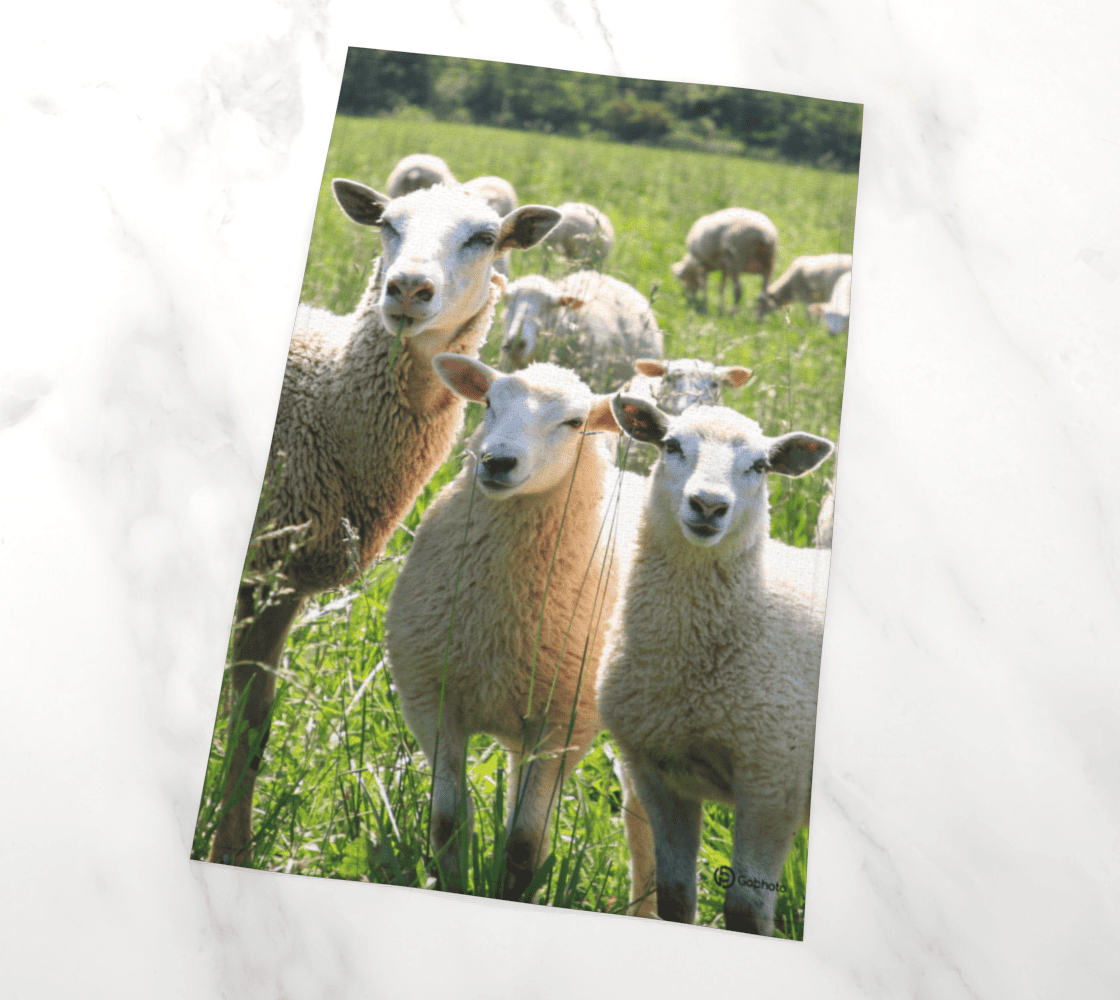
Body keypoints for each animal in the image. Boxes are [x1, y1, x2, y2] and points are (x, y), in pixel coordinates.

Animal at [207, 180, 561, 866]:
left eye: (485, 237)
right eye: (388, 225)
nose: (406, 288)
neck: (328, 398)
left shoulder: (285, 576)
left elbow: (253, 724)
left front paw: (232, 850)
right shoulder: (266, 564)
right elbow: (243, 722)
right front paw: (225, 845)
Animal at [384, 357, 646, 901]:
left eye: (574, 423)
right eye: (488, 403)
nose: (496, 462)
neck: (500, 623)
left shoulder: (562, 724)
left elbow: (525, 841)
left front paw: (512, 892)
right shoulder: (430, 701)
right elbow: (447, 823)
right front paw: (453, 884)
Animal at [598, 395, 834, 933]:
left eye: (760, 466)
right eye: (671, 445)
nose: (708, 505)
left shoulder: (772, 782)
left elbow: (746, 911)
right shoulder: (657, 774)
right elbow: (674, 898)